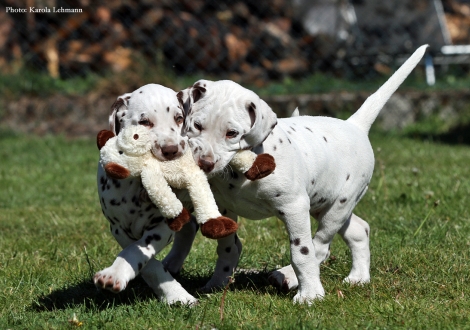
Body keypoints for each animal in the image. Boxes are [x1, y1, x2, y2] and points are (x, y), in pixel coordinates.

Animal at [95, 84, 198, 306]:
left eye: (179, 118)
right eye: (144, 122)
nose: (171, 150)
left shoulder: (162, 226)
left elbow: (136, 250)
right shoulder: (118, 228)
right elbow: (143, 258)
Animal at [163, 44, 428, 304]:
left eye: (232, 133)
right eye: (196, 126)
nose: (204, 163)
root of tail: (354, 125)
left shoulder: (294, 207)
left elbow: (302, 251)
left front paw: (309, 294)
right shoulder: (224, 207)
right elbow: (228, 246)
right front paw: (217, 282)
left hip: (339, 205)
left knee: (321, 245)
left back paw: (290, 276)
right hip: (324, 203)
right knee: (359, 230)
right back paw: (358, 278)